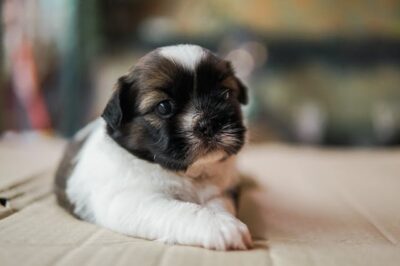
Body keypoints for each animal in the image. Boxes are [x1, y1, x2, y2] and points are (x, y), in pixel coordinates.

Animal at [54, 44, 252, 250]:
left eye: (225, 94)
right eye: (164, 107)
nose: (210, 123)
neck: (188, 174)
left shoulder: (222, 192)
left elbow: (218, 203)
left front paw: (224, 218)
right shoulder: (131, 200)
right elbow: (180, 209)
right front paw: (220, 225)